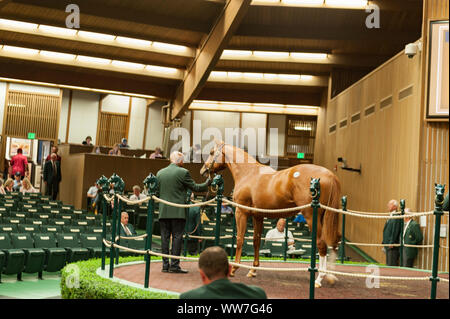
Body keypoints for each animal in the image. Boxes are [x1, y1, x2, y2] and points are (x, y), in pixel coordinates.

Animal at [200, 142, 342, 288]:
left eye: (211, 152)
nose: (203, 170)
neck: (248, 173)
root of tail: (329, 175)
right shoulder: (258, 216)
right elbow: (256, 241)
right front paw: (253, 270)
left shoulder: (241, 212)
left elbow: (240, 239)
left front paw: (234, 268)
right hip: (326, 217)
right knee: (335, 241)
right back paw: (331, 276)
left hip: (312, 217)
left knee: (322, 244)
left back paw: (319, 279)